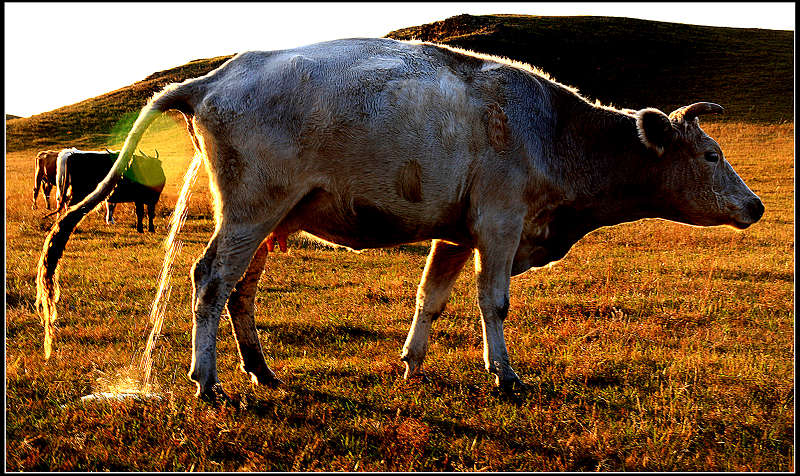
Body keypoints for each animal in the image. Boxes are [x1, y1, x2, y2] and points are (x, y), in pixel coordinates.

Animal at [34, 38, 764, 402]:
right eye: (709, 153)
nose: (755, 205)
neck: (555, 132)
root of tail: (214, 77)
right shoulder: (499, 224)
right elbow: (493, 302)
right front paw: (505, 377)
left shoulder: (456, 233)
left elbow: (430, 298)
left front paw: (411, 364)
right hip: (249, 211)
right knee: (210, 280)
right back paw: (208, 382)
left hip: (270, 218)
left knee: (241, 290)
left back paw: (262, 371)